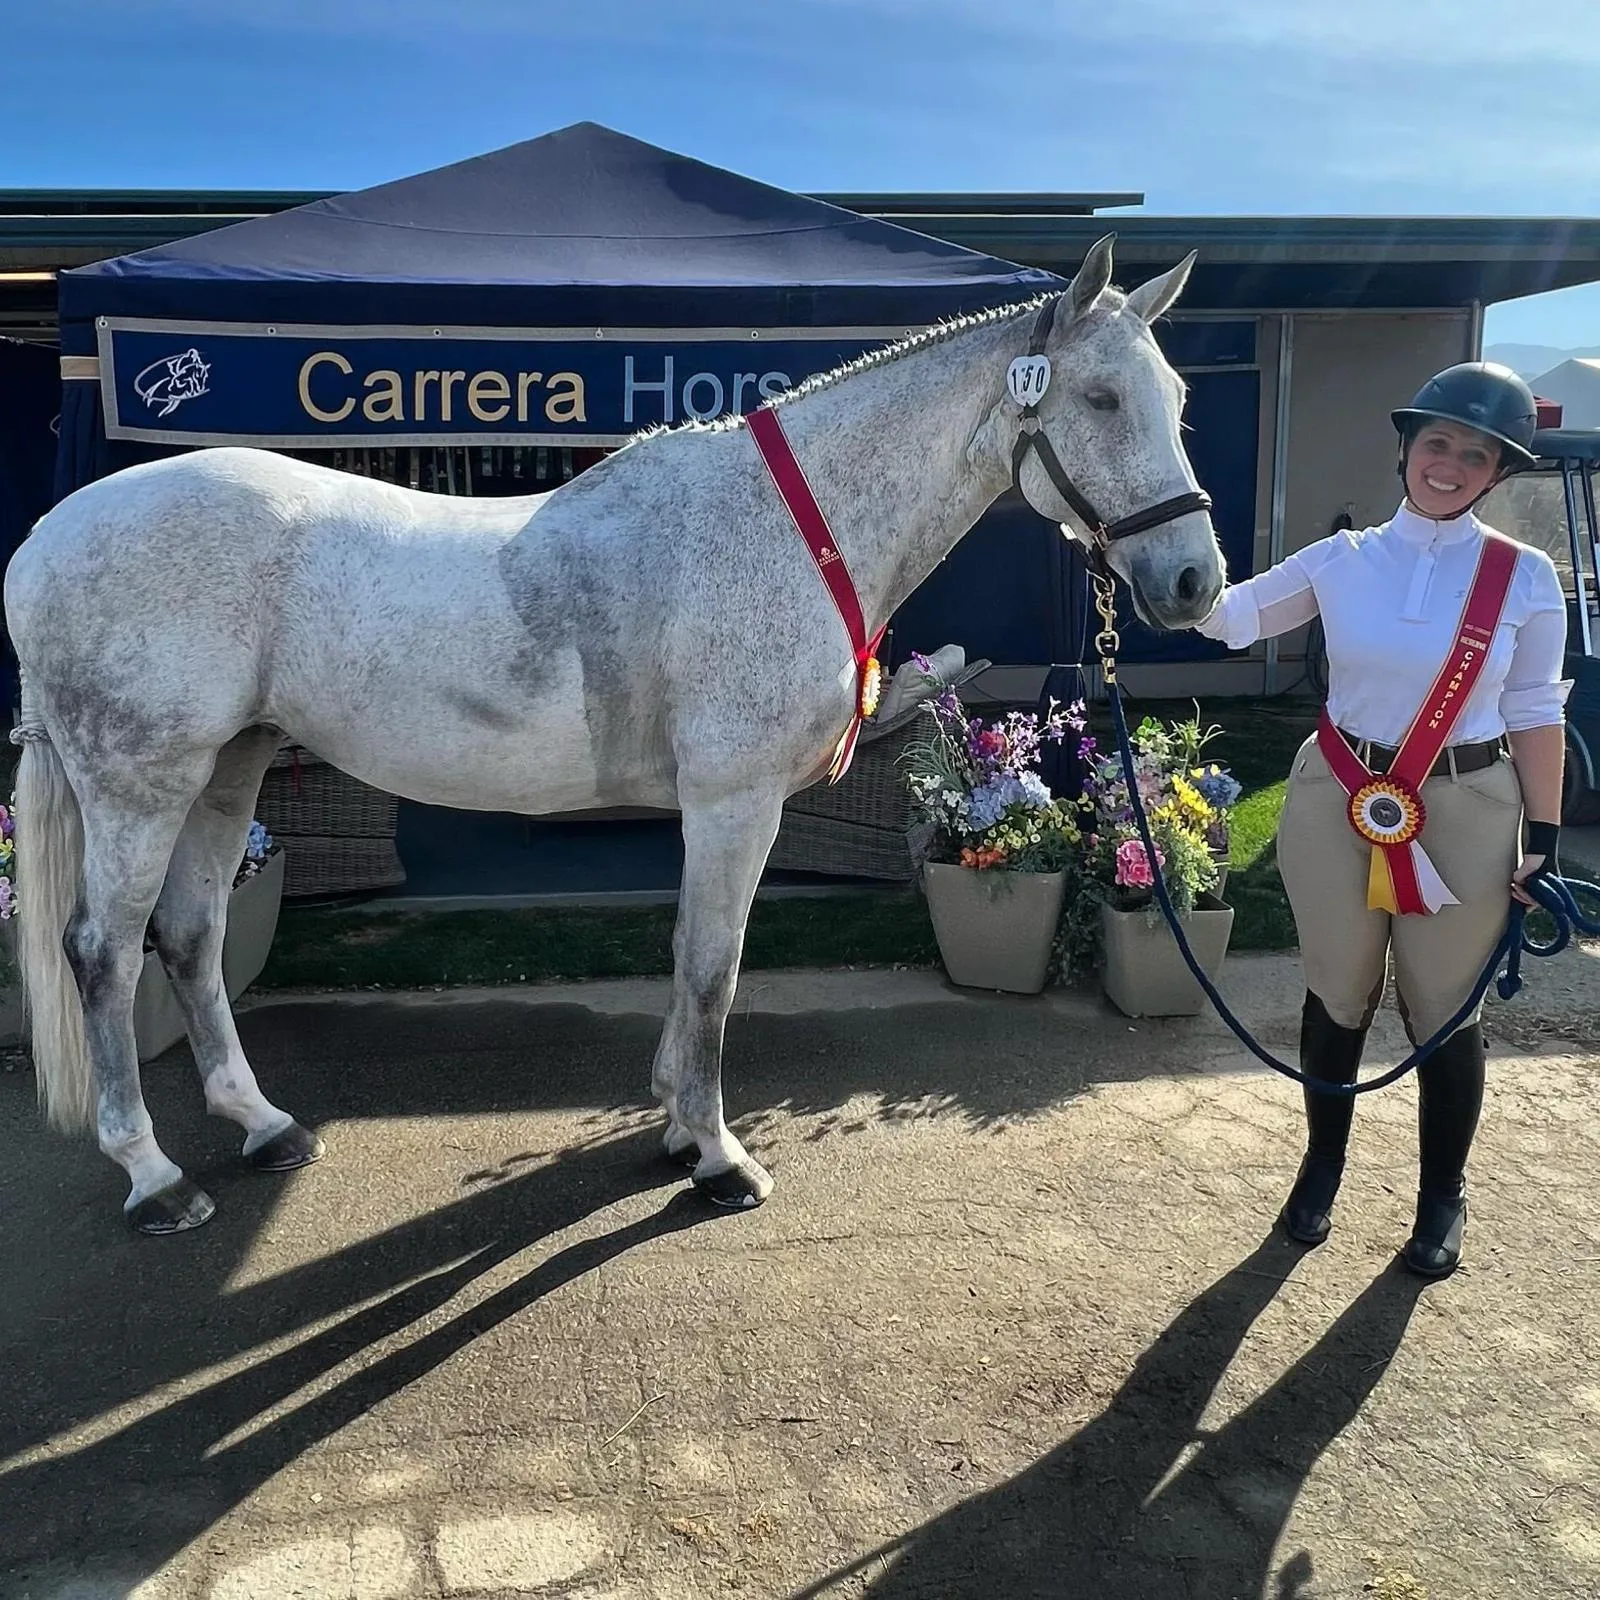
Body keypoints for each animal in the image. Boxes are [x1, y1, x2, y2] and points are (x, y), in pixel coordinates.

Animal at [6, 240, 1216, 1235]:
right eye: (1101, 396)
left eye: (1176, 395)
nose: (1195, 580)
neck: (786, 526)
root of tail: (41, 545)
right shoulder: (733, 802)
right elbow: (715, 967)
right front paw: (721, 1159)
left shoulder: (712, 809)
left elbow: (687, 960)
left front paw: (679, 1126)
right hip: (140, 782)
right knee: (102, 950)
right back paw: (155, 1177)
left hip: (230, 767)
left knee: (192, 936)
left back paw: (263, 1126)